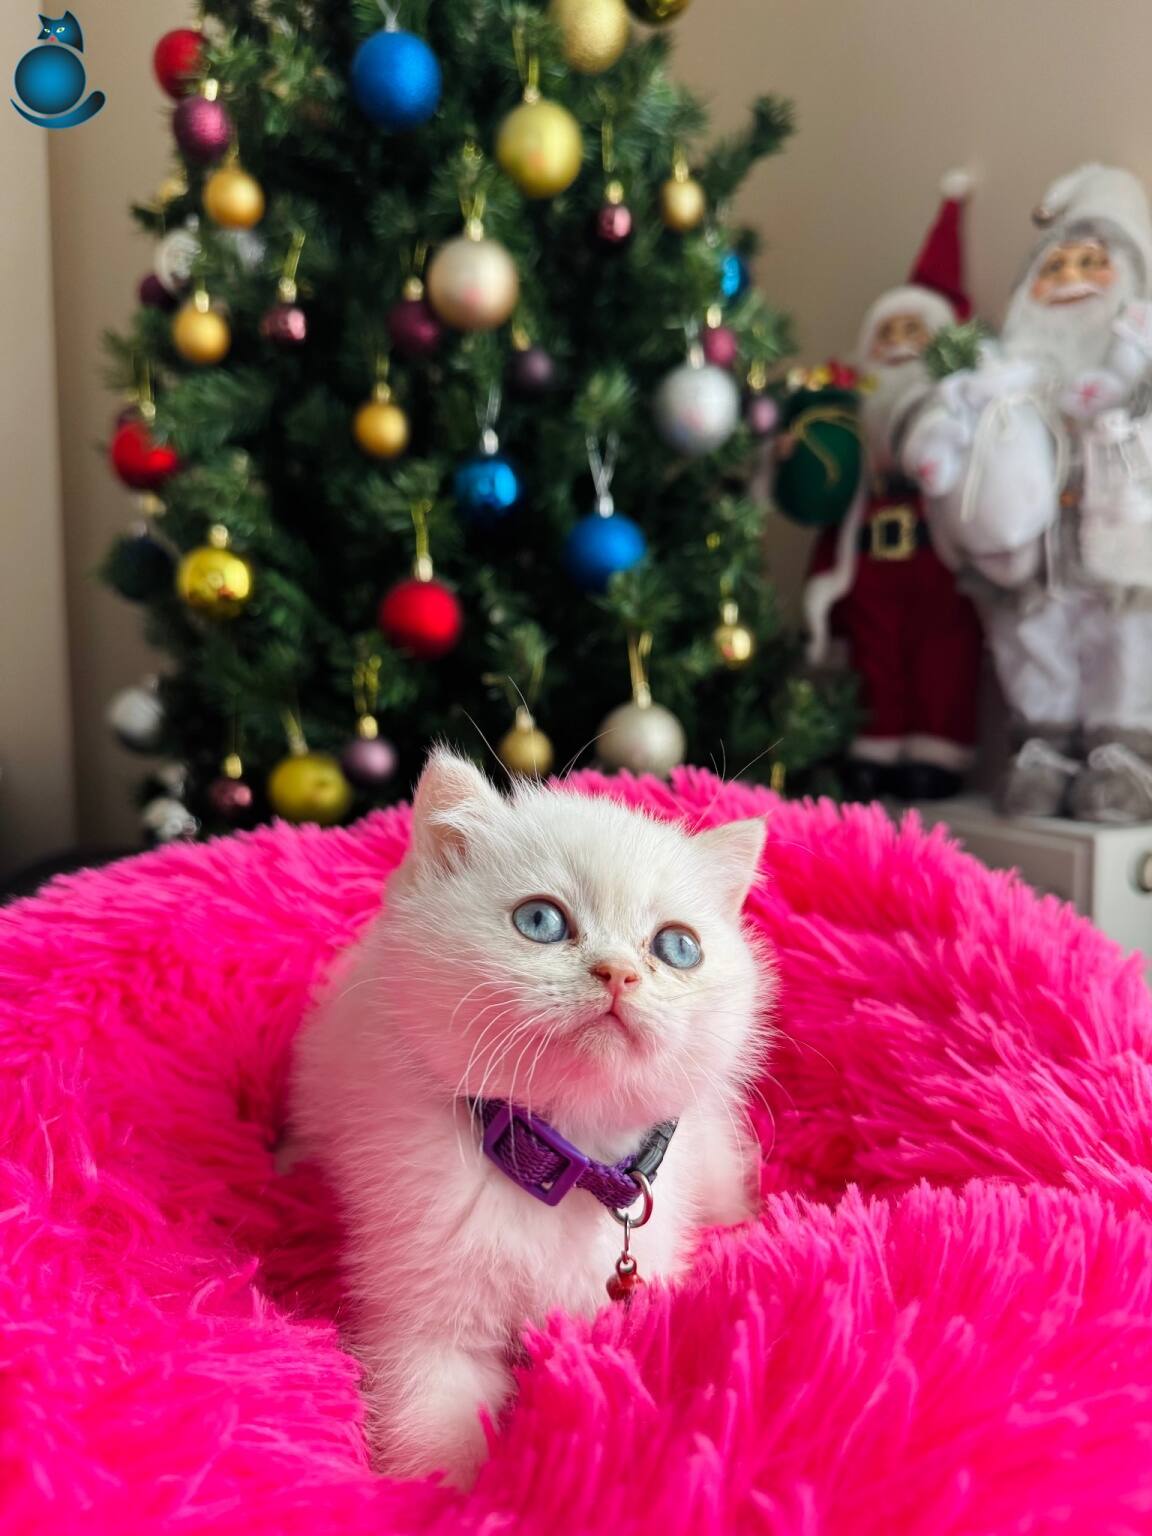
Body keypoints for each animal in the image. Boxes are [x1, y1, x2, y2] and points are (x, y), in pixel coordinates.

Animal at [289, 749, 772, 1484]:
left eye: (677, 948)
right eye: (540, 921)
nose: (619, 973)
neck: (561, 1161)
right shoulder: (422, 1315)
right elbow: (434, 1425)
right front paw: (448, 1492)